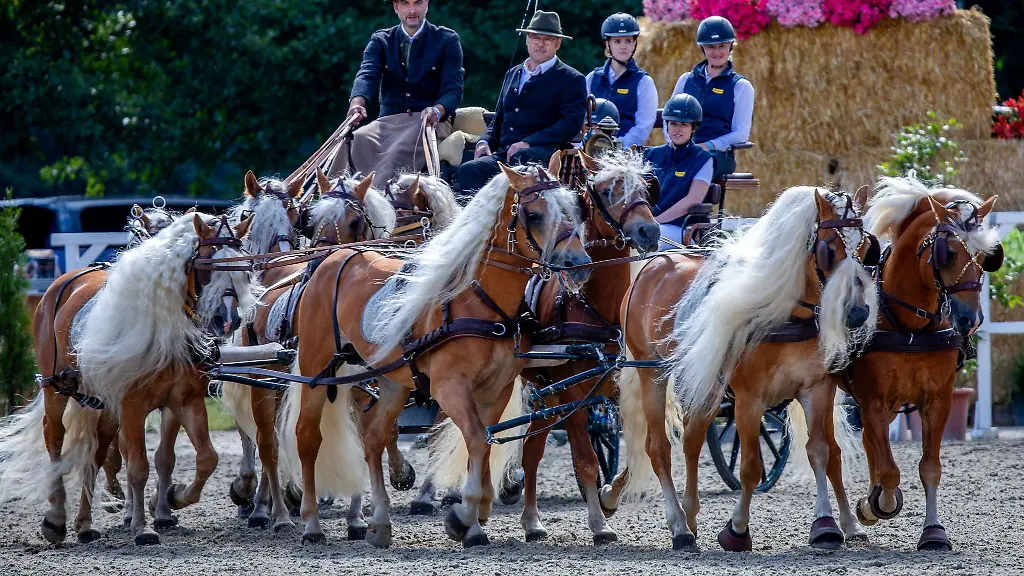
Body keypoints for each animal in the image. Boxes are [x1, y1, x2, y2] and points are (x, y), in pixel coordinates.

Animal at [0, 212, 259, 545]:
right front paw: (141, 527)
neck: (166, 330)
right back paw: (56, 519)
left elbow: (206, 458)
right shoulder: (132, 406)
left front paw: (174, 497)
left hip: (102, 406)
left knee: (95, 455)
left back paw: (85, 525)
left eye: (244, 270)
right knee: (55, 438)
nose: (227, 320)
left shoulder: (185, 401)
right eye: (206, 265)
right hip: (56, 388)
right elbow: (138, 467)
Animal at [278, 163, 592, 547]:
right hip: (317, 371)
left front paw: (475, 518)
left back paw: (379, 521)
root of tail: (333, 258)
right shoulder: (449, 387)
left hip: (392, 381)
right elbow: (476, 438)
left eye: (575, 210)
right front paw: (465, 516)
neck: (478, 299)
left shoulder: (496, 390)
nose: (579, 264)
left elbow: (483, 442)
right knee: (308, 438)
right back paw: (311, 522)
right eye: (533, 215)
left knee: (374, 437)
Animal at [607, 186, 879, 552]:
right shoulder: (749, 401)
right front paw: (736, 530)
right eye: (829, 250)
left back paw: (686, 515)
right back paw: (679, 526)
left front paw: (835, 525)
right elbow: (750, 467)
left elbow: (823, 452)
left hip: (705, 385)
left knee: (692, 439)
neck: (787, 314)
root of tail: (653, 264)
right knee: (658, 447)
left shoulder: (816, 389)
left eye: (865, 249)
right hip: (653, 374)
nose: (858, 313)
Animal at [849, 176, 1000, 551]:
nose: (969, 319)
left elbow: (930, 467)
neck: (910, 327)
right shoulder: (873, 400)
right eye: (948, 253)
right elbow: (890, 471)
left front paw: (933, 532)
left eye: (985, 256)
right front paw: (879, 504)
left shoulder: (938, 400)